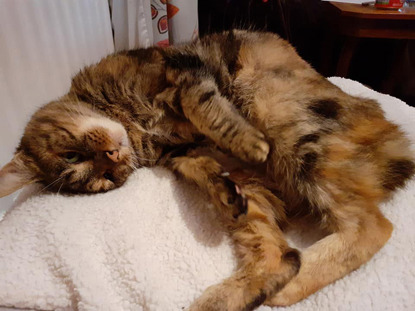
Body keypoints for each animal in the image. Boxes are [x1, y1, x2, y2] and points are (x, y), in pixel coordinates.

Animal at [0, 29, 415, 311]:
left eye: (73, 157)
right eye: (102, 181)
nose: (113, 160)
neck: (133, 126)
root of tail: (396, 143)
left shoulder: (184, 68)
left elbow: (201, 104)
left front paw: (247, 143)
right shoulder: (183, 151)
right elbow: (200, 164)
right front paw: (221, 183)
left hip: (277, 110)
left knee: (372, 229)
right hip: (265, 185)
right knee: (284, 257)